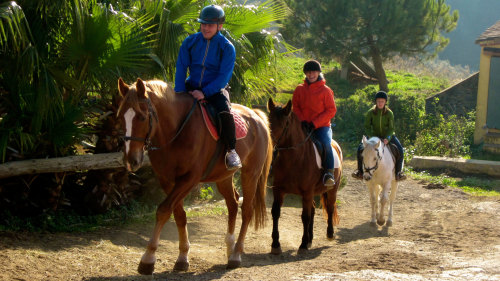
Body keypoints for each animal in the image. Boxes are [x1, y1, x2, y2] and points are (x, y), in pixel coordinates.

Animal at [116, 77, 272, 272]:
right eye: (120, 118)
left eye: (142, 117)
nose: (131, 160)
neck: (177, 130)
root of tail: (257, 116)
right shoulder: (167, 180)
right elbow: (179, 215)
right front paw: (182, 257)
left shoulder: (189, 179)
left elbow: (163, 210)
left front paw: (148, 258)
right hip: (224, 177)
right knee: (233, 204)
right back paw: (230, 248)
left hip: (251, 174)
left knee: (247, 210)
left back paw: (236, 254)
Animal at [268, 98, 342, 254]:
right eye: (268, 119)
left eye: (284, 124)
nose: (270, 143)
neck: (294, 159)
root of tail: (335, 145)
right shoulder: (278, 190)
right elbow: (276, 212)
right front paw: (276, 244)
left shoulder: (307, 192)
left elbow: (305, 217)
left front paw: (302, 245)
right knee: (313, 209)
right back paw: (310, 239)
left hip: (332, 190)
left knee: (330, 208)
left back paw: (329, 234)